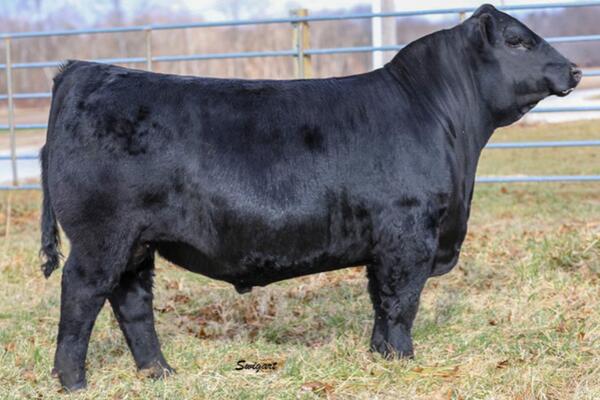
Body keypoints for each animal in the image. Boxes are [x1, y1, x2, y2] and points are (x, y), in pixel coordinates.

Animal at [38, 3, 580, 390]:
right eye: (518, 41)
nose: (575, 70)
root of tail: (81, 70)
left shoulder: (385, 244)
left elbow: (381, 302)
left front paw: (380, 356)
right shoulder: (409, 235)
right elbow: (401, 301)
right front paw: (403, 360)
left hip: (136, 243)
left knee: (132, 301)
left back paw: (160, 373)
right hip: (101, 237)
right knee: (82, 294)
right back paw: (73, 382)